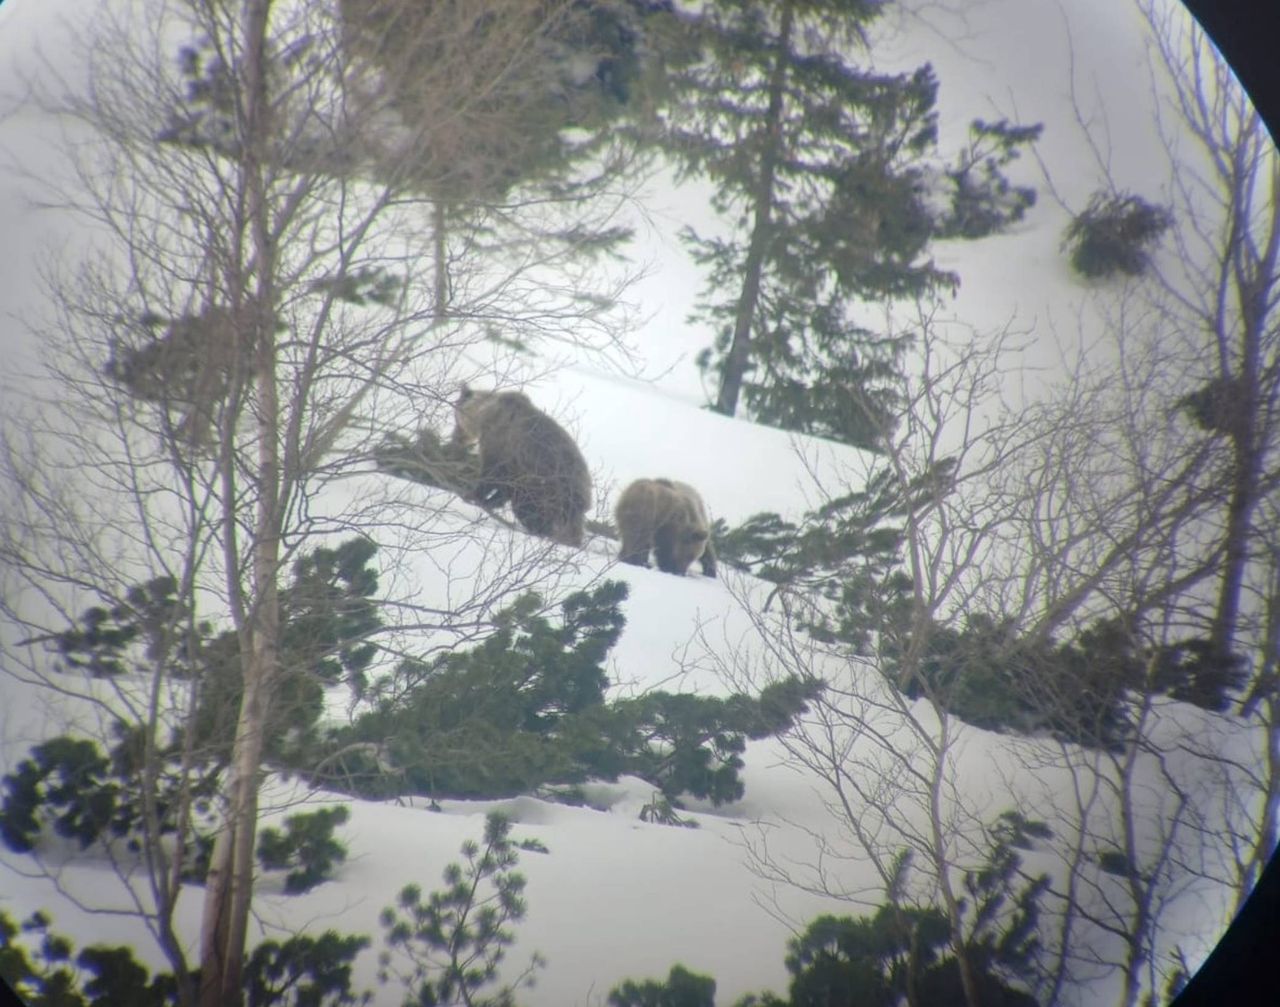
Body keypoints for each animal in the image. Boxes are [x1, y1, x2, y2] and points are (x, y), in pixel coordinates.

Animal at [448, 386, 591, 547]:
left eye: (455, 416)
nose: (455, 437)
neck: (484, 414)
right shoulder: (514, 465)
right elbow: (504, 487)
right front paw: (490, 501)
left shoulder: (500, 443)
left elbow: (491, 474)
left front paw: (473, 495)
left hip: (545, 485)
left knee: (528, 508)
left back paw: (540, 532)